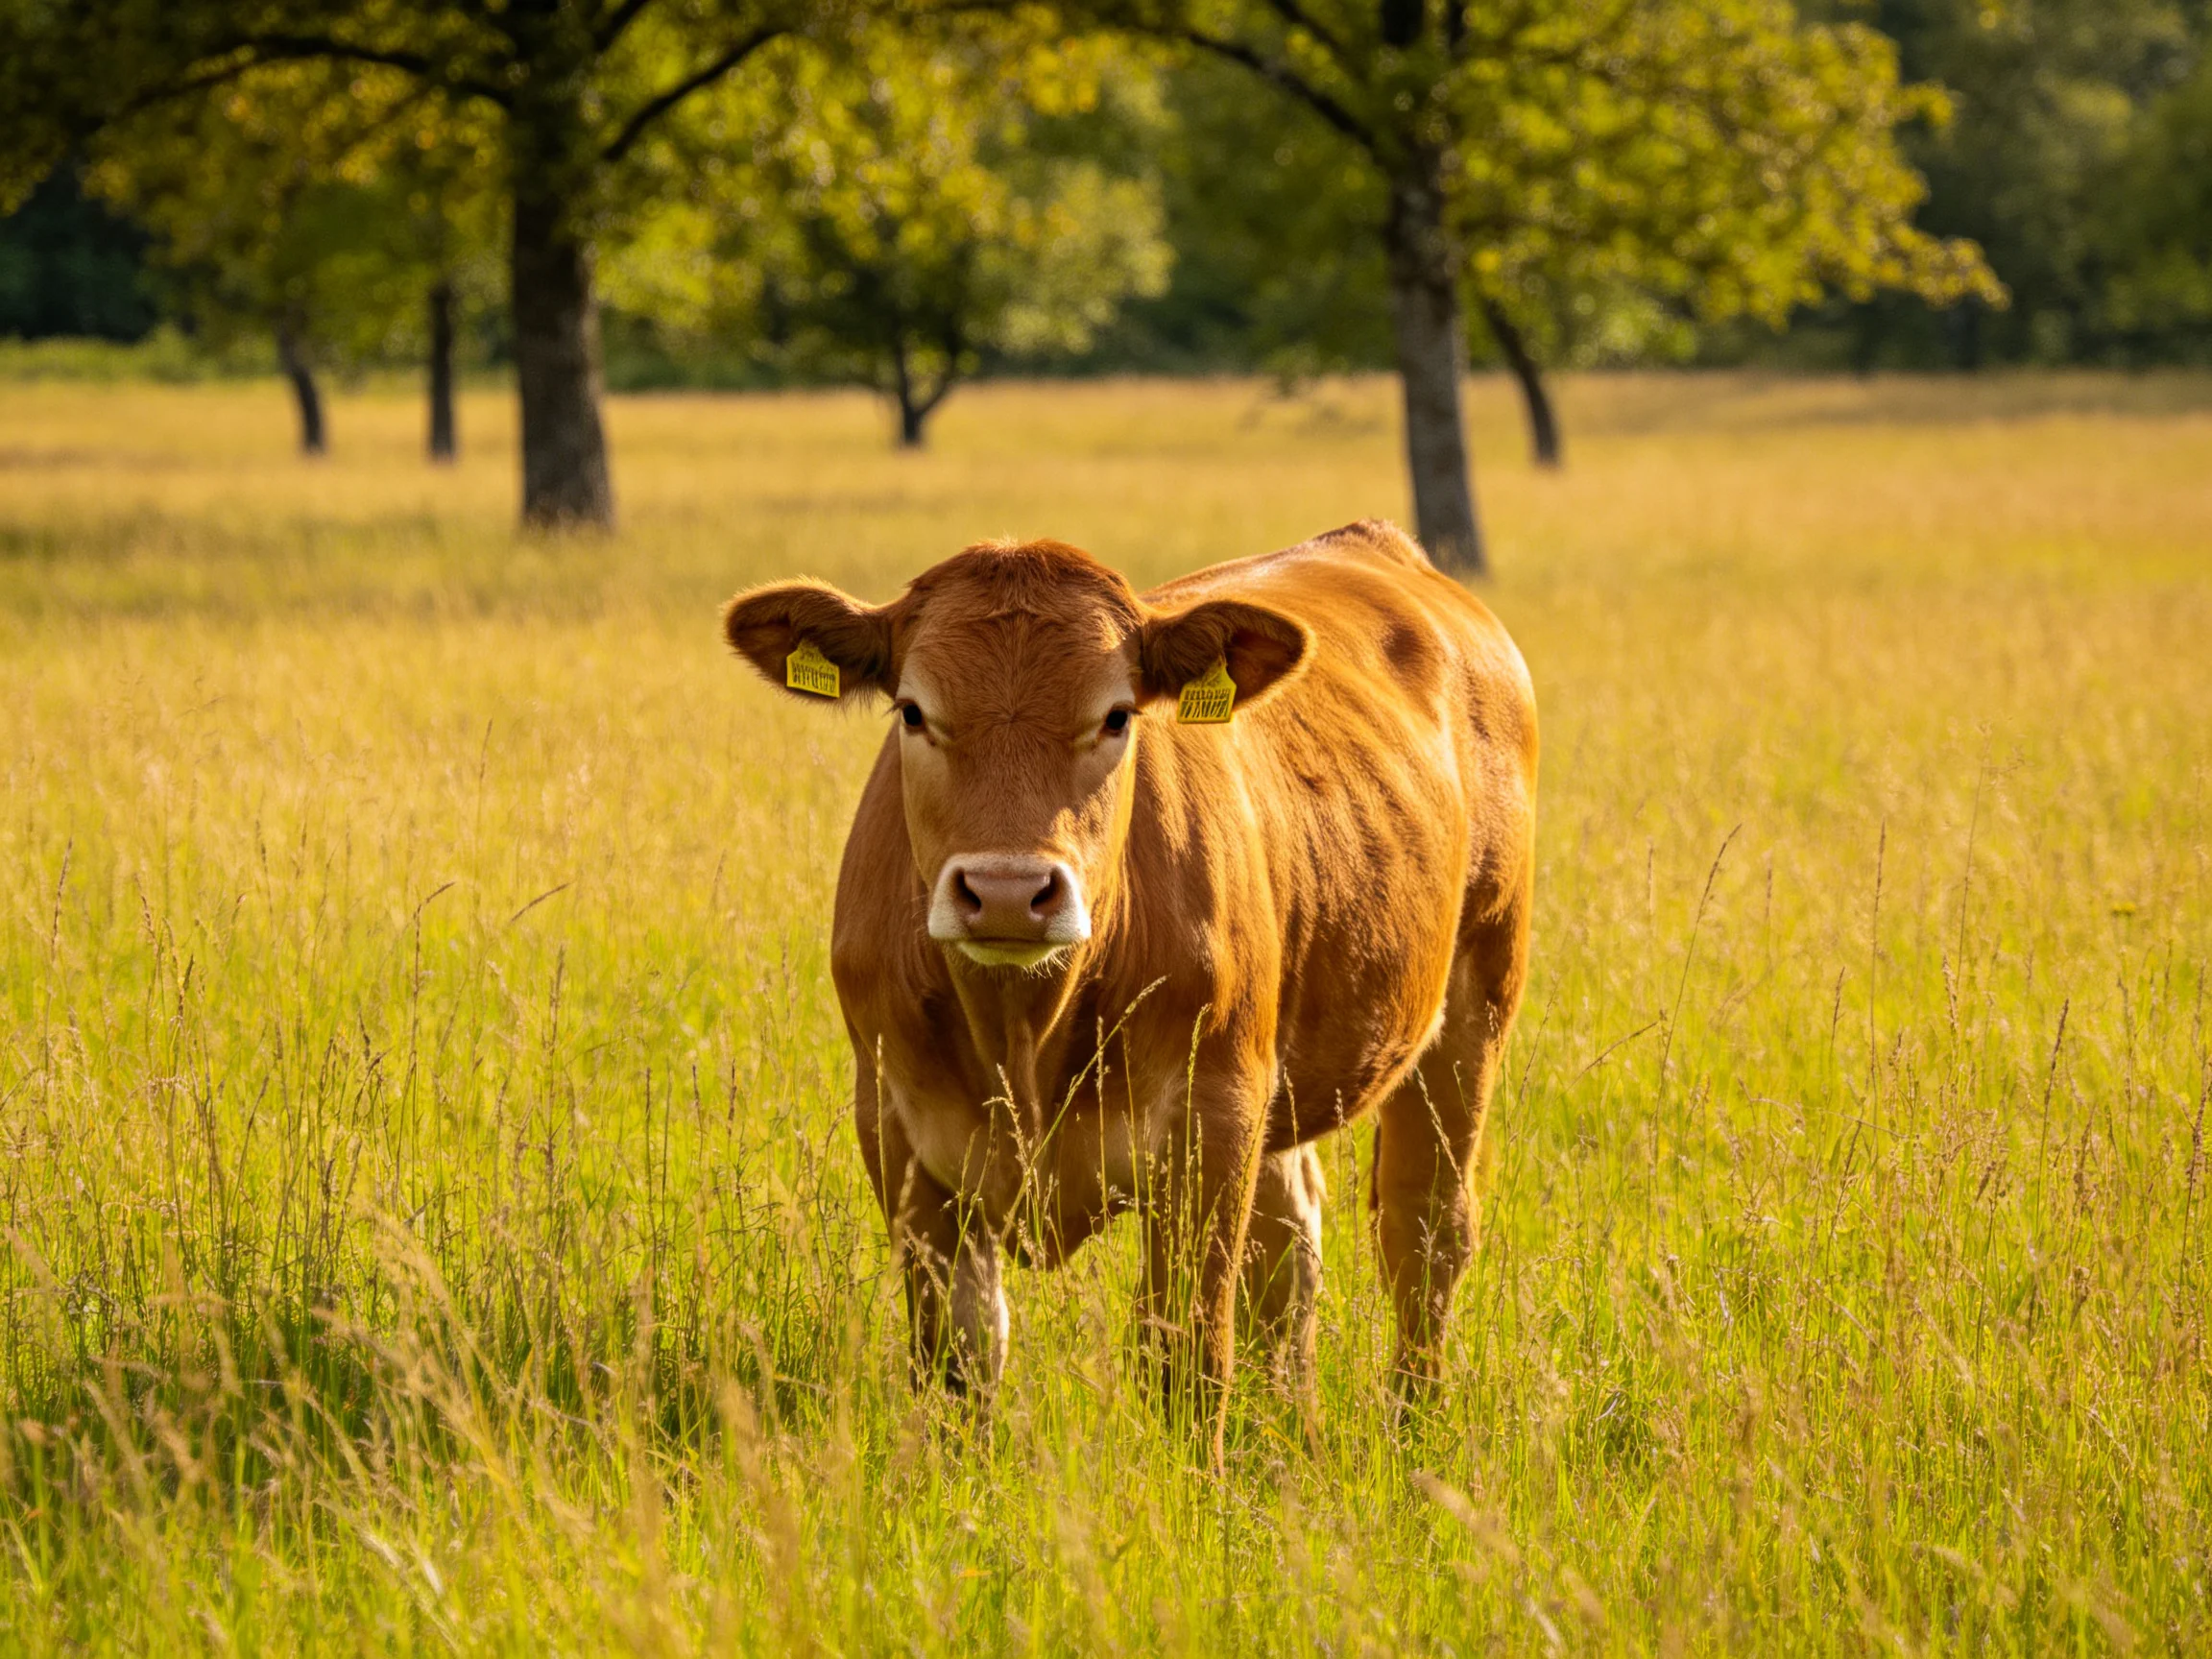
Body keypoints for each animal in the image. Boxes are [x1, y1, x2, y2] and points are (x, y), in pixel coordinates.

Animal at [721, 520, 1536, 1455]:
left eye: (1115, 715)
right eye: (913, 712)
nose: (1008, 890)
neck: (1023, 1034)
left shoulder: (1210, 1126)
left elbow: (1186, 1356)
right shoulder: (897, 1131)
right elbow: (960, 1358)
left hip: (1473, 1000)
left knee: (1423, 1230)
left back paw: (1412, 1432)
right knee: (1290, 1243)